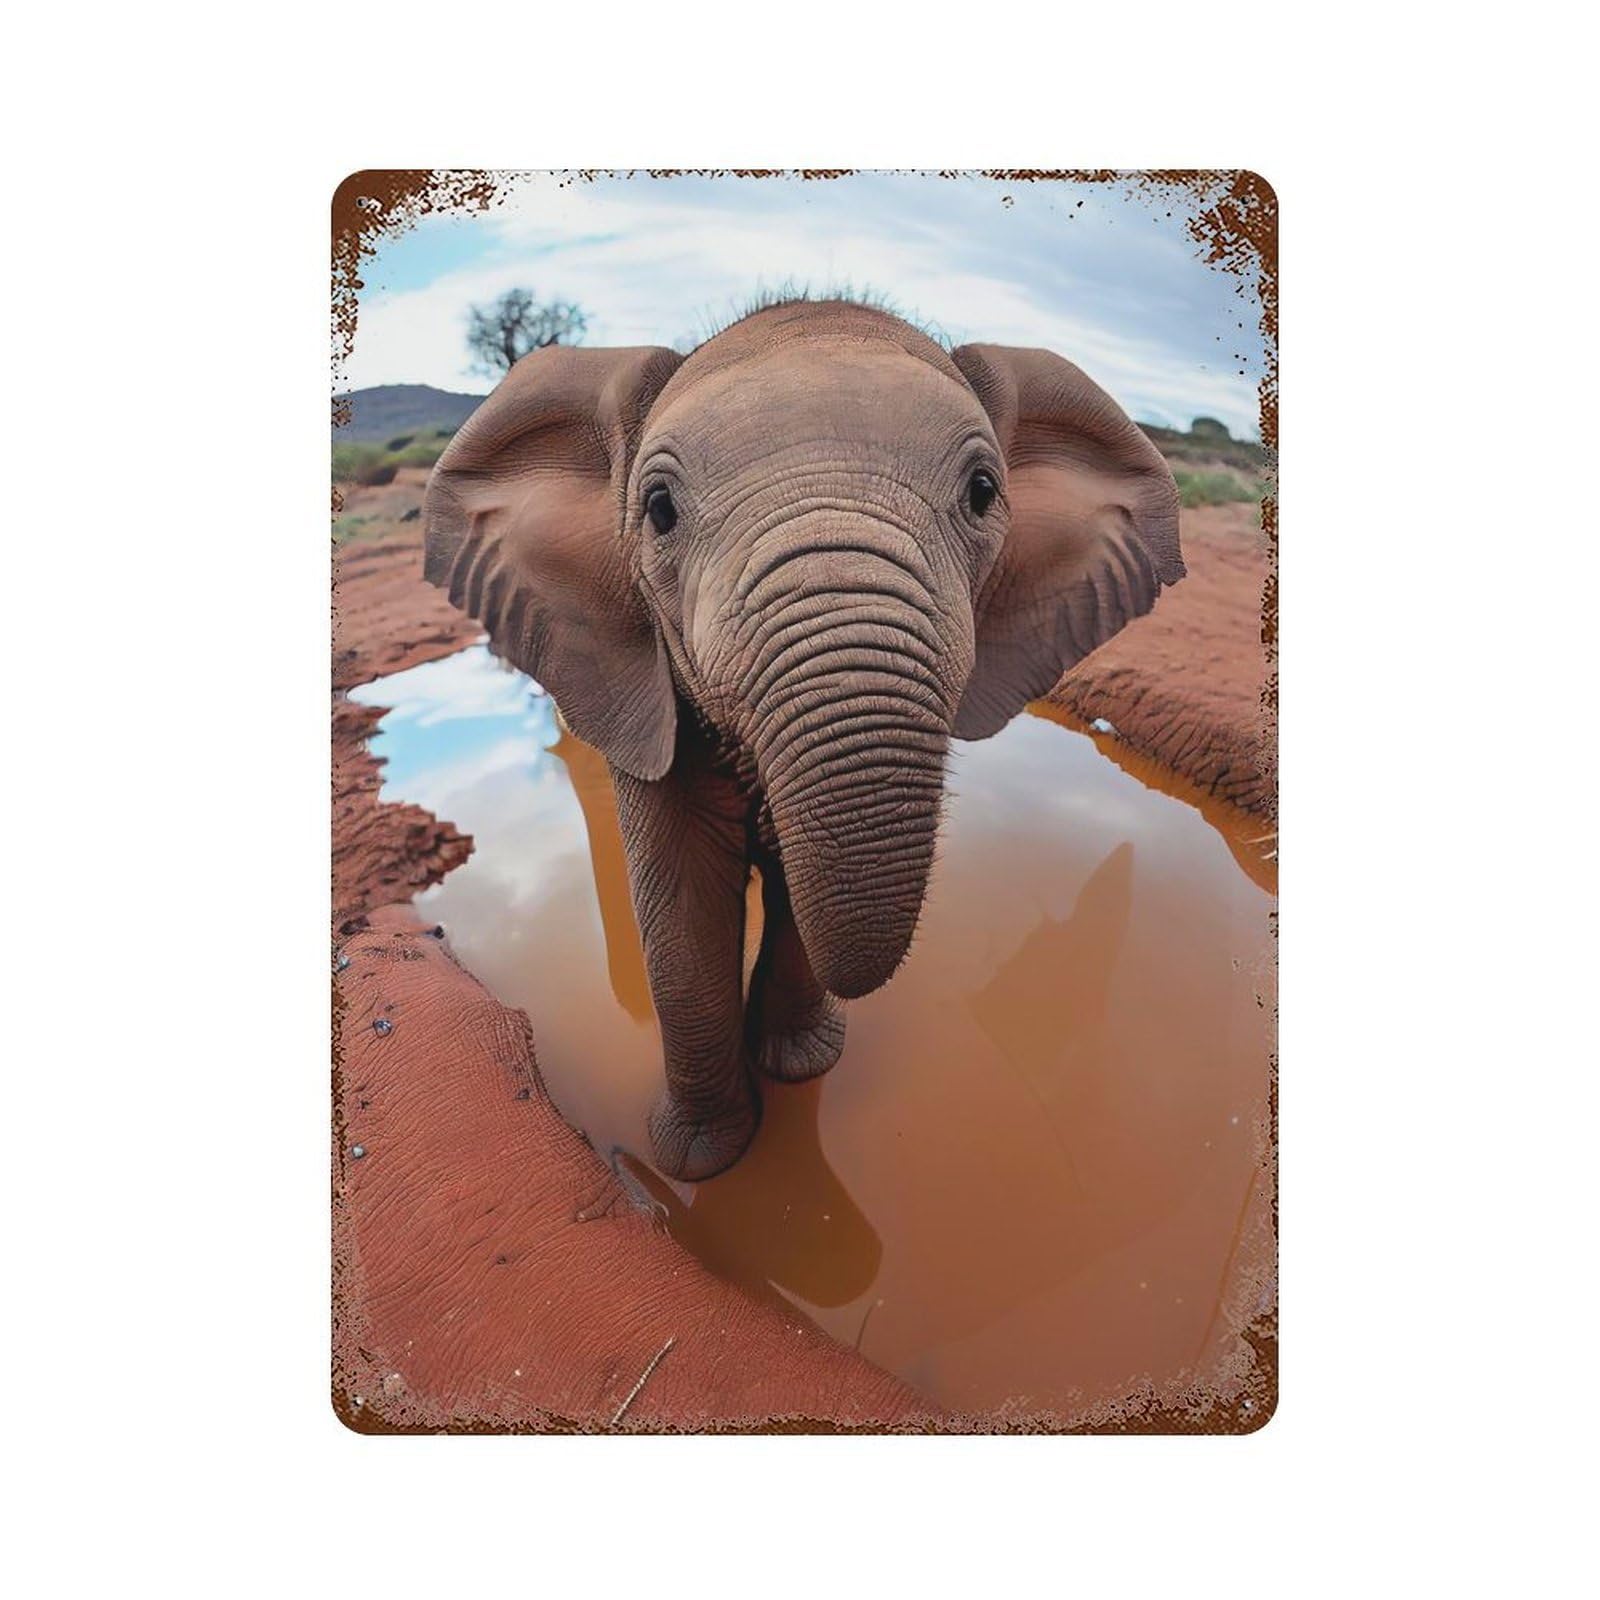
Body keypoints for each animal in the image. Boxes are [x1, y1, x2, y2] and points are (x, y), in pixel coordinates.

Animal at [423, 298, 1183, 1180]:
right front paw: (703, 1163)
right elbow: (682, 904)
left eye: (984, 492)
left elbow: (793, 889)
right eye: (659, 511)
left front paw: (795, 1068)